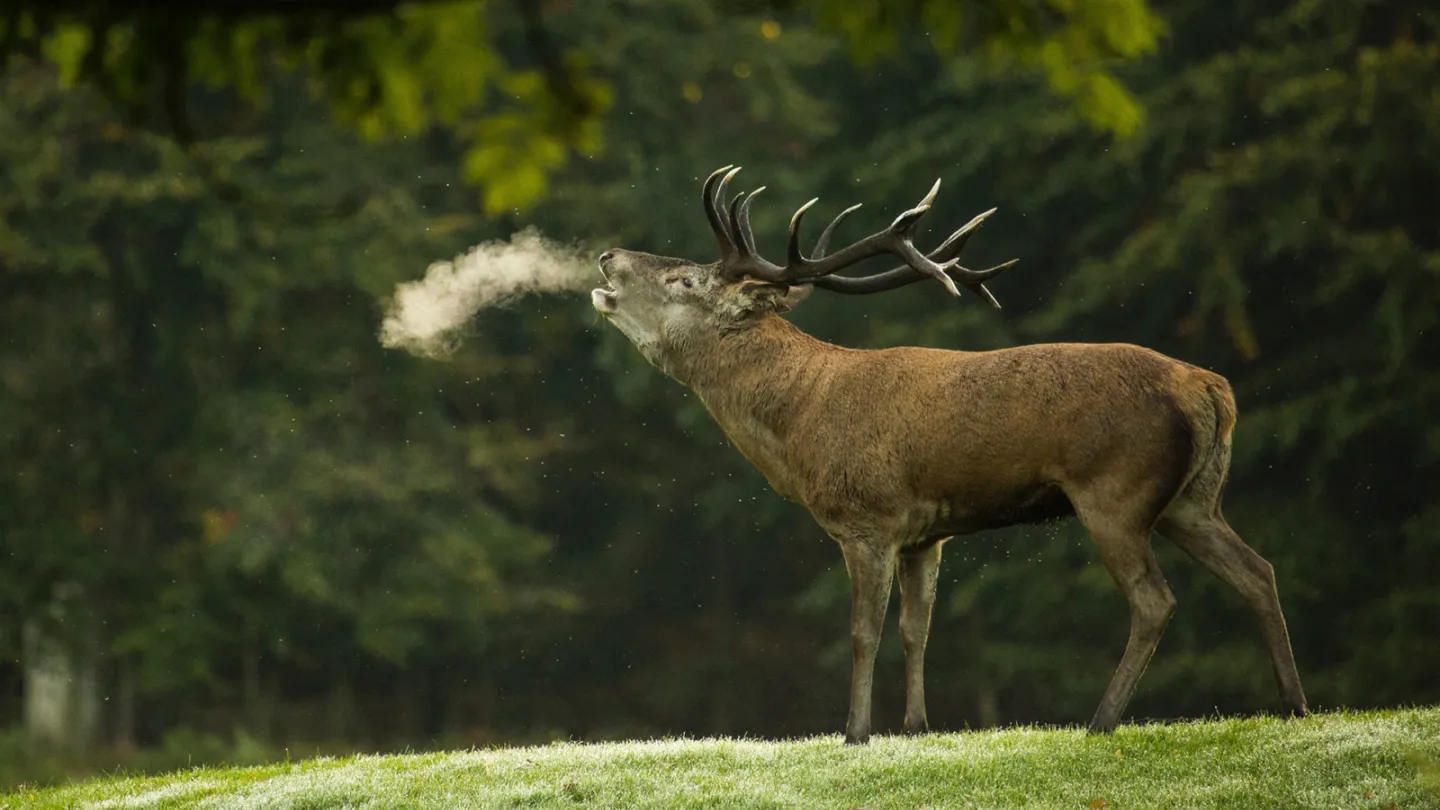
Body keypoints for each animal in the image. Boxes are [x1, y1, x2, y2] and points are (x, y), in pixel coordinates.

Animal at [590, 165, 1309, 744]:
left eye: (685, 279)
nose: (606, 256)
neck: (801, 425)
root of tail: (1212, 389)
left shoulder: (868, 519)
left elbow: (863, 632)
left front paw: (855, 733)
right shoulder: (925, 534)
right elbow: (918, 627)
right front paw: (916, 726)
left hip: (1116, 490)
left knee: (1154, 600)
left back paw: (1100, 721)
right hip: (1192, 499)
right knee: (1258, 570)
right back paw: (1294, 704)